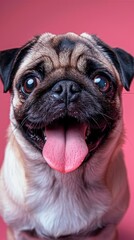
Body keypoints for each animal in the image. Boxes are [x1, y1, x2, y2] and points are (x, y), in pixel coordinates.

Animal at [0, 33, 133, 240]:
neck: (64, 182)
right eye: (30, 83)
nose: (66, 87)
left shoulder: (107, 230)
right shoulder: (17, 230)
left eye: (101, 82)